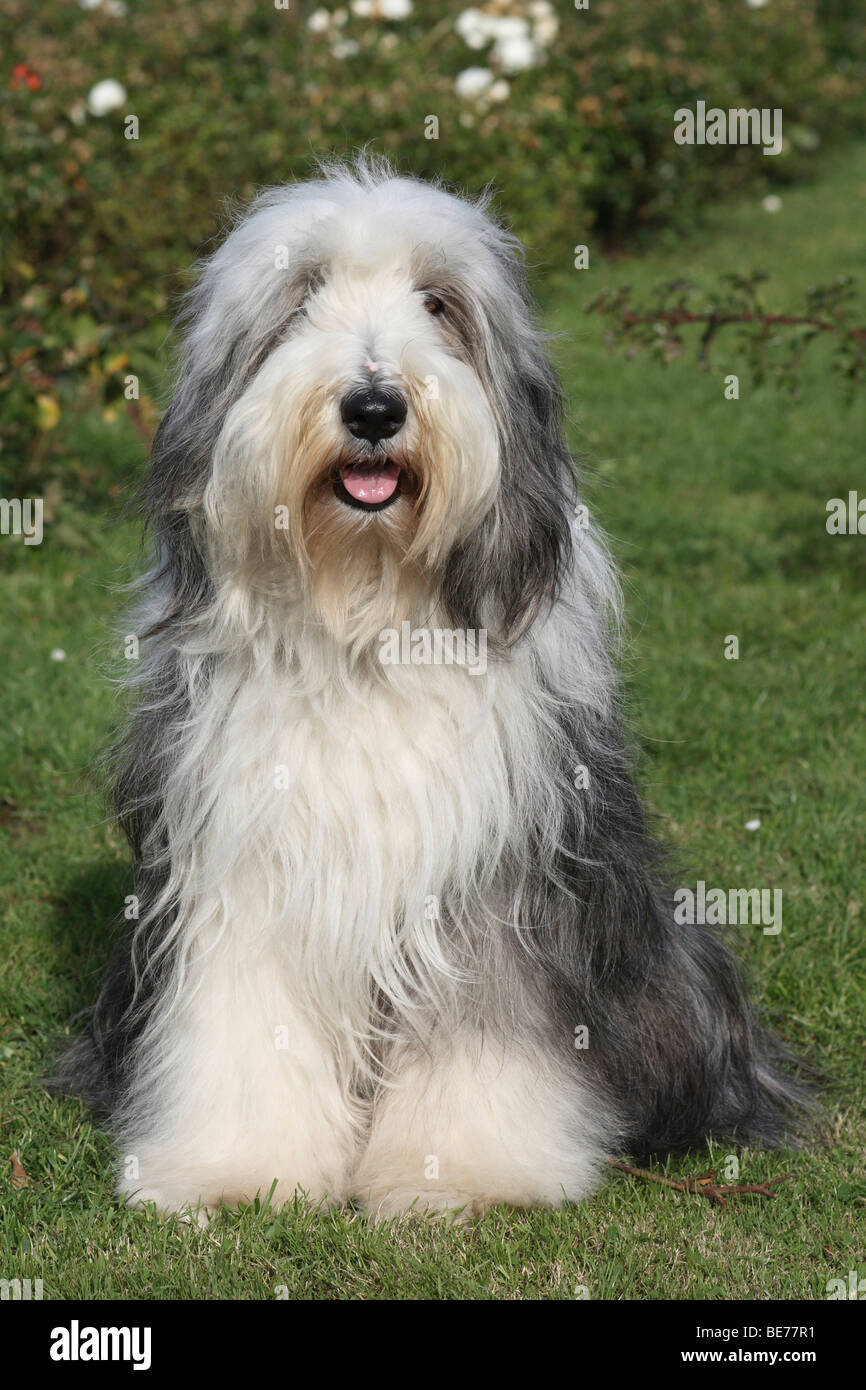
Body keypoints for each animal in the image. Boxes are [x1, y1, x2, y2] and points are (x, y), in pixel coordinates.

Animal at [61, 159, 806, 1217]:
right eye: (301, 300)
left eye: (439, 304)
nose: (374, 408)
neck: (369, 617)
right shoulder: (241, 863)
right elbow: (244, 1020)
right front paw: (234, 1170)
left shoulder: (496, 870)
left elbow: (485, 1030)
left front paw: (459, 1173)